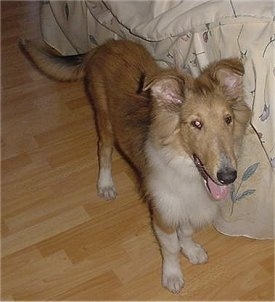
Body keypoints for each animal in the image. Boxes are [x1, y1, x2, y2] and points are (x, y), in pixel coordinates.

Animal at [20, 39, 251, 292]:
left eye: (228, 119)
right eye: (196, 124)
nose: (228, 176)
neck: (185, 168)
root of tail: (104, 46)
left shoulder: (187, 206)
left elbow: (187, 232)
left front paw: (191, 251)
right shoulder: (163, 211)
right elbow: (170, 247)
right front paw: (172, 276)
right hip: (104, 119)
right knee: (103, 150)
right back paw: (105, 185)